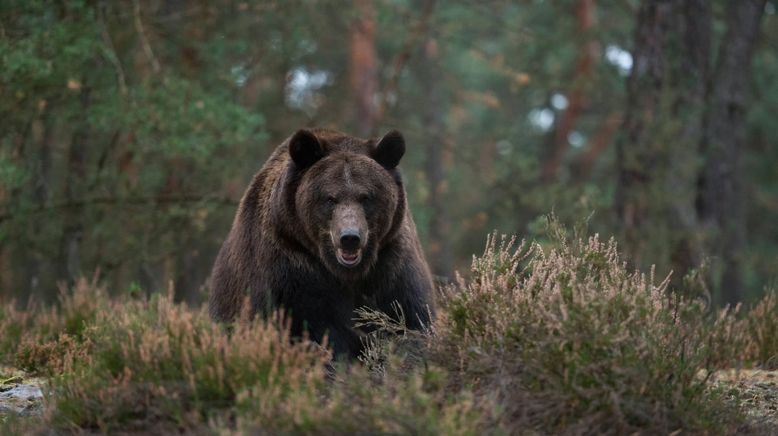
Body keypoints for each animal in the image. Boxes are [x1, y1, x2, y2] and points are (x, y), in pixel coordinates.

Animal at [209, 127, 434, 358]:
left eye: (366, 197)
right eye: (330, 198)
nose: (350, 238)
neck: (346, 273)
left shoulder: (390, 264)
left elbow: (408, 318)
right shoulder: (289, 267)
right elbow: (310, 327)